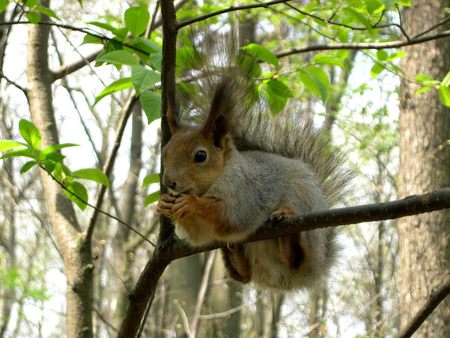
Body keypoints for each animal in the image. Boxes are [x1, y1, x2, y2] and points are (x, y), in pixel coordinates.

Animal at [158, 41, 352, 290]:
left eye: (200, 156)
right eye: (164, 152)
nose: (169, 182)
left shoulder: (247, 190)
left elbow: (232, 215)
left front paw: (190, 203)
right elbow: (200, 236)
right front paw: (164, 204)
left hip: (305, 215)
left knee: (298, 257)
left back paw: (287, 233)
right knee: (244, 275)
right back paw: (234, 254)